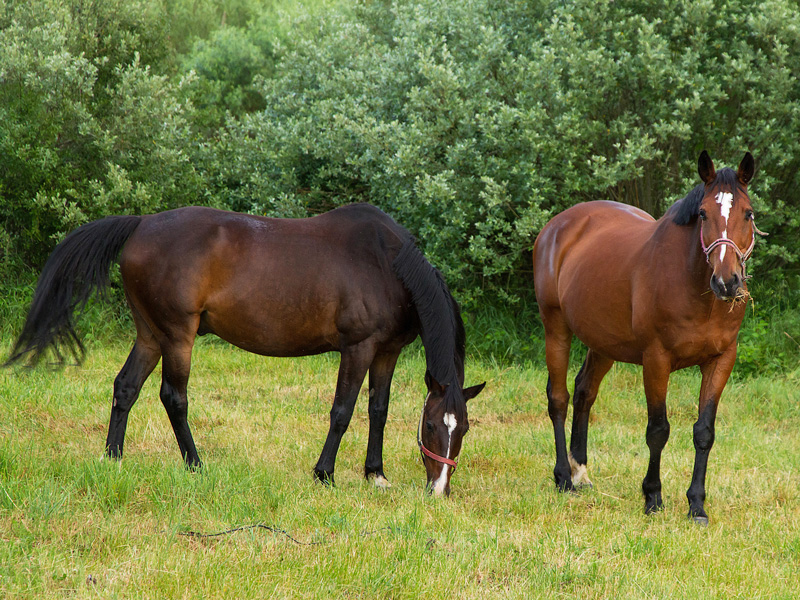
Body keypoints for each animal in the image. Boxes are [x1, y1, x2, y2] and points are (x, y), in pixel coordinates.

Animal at [6, 204, 484, 494]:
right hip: (177, 336)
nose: (439, 489)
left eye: (461, 428)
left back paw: (113, 458)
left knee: (126, 387)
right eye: (431, 426)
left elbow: (378, 410)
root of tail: (141, 223)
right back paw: (195, 464)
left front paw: (375, 474)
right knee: (173, 397)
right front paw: (324, 474)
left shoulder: (386, 351)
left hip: (150, 334)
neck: (387, 264)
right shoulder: (358, 348)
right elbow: (343, 412)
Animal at [532, 152, 764, 524]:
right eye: (703, 214)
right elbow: (658, 430)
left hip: (603, 343)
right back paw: (564, 478)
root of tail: (557, 226)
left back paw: (580, 470)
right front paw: (653, 497)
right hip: (555, 328)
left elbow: (704, 431)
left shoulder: (721, 360)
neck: (693, 287)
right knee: (559, 398)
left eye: (749, 213)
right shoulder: (656, 360)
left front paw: (696, 505)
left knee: (585, 392)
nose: (727, 282)